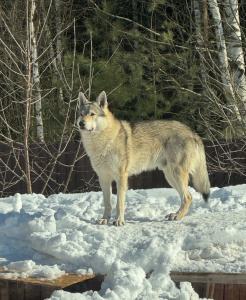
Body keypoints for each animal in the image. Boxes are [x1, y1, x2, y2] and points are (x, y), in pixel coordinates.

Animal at [77, 90, 209, 226]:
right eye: (81, 115)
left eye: (92, 114)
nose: (81, 123)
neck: (101, 143)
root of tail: (194, 133)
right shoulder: (104, 178)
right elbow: (107, 203)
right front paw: (105, 219)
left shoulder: (121, 177)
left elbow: (119, 203)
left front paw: (119, 221)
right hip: (170, 176)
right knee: (187, 196)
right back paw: (175, 214)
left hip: (176, 174)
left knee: (187, 197)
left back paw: (178, 217)